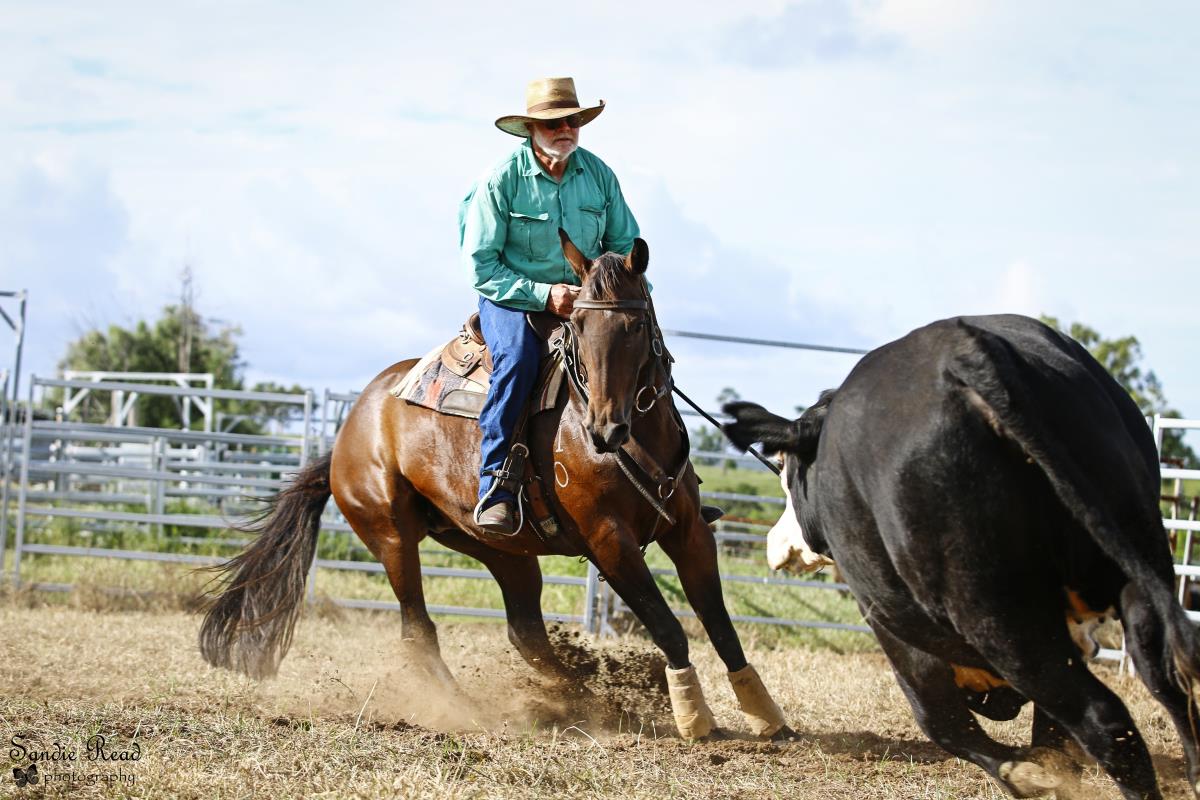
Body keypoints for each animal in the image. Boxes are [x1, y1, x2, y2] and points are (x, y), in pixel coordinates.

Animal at [199, 232, 788, 740]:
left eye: (635, 327)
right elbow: (668, 626)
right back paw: (470, 708)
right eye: (578, 325)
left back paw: (583, 699)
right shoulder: (610, 544)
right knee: (419, 631)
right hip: (390, 536)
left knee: (526, 632)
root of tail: (348, 434)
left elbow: (719, 623)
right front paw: (695, 719)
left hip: (500, 549)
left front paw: (766, 714)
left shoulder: (688, 531)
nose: (604, 429)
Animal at [722, 314, 1200, 800]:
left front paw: (1027, 775)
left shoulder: (892, 631)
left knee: (1102, 717)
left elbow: (940, 720)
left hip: (995, 614)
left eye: (786, 470)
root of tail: (968, 353)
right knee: (1166, 676)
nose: (776, 541)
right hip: (1137, 565)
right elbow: (1049, 734)